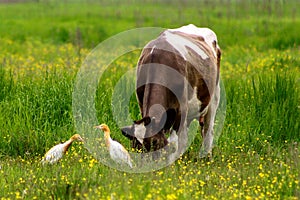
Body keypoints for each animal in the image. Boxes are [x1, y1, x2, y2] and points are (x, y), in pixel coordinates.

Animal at [120, 23, 221, 158]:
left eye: (155, 142)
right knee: (185, 138)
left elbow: (173, 143)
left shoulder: (181, 108)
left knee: (208, 131)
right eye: (136, 146)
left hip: (214, 97)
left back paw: (206, 157)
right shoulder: (141, 104)